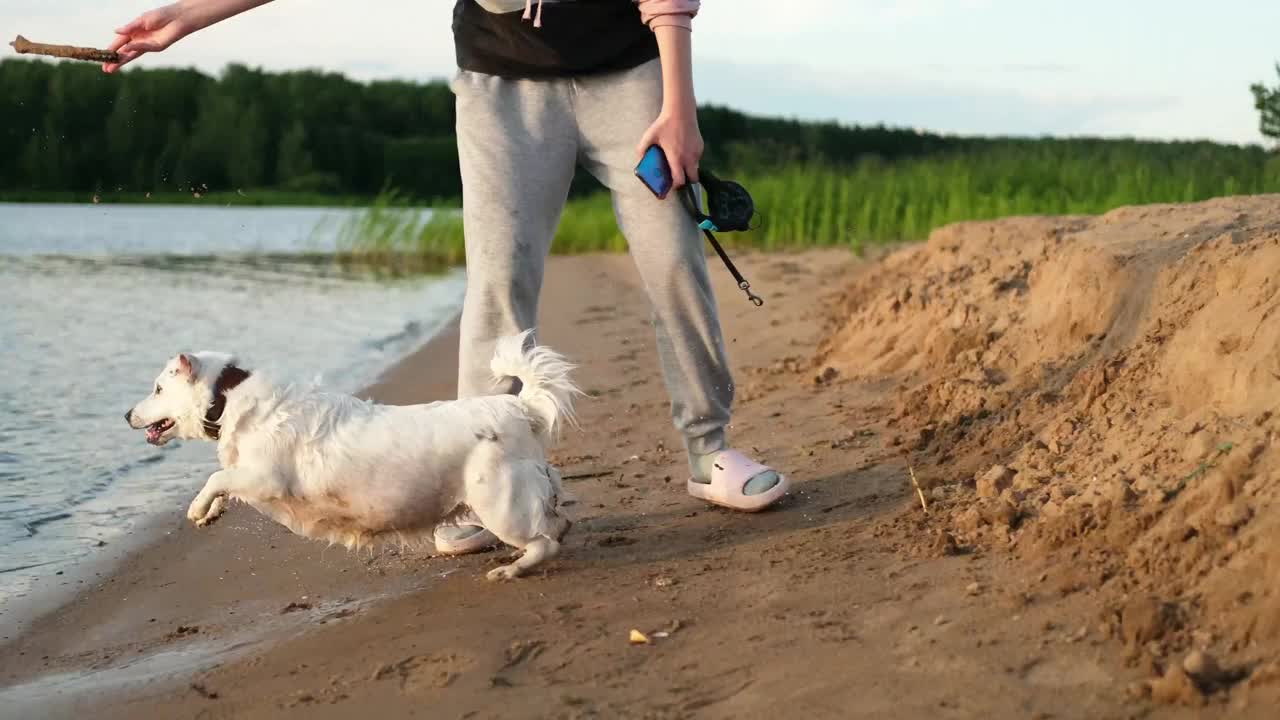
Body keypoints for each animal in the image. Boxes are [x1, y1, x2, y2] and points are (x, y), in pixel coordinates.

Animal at [122, 330, 583, 576]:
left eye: (157, 389)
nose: (126, 414)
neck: (228, 397)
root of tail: (519, 408)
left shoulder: (265, 476)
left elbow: (216, 478)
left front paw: (197, 509)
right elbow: (223, 483)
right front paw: (212, 512)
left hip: (499, 504)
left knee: (544, 542)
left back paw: (513, 568)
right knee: (557, 522)